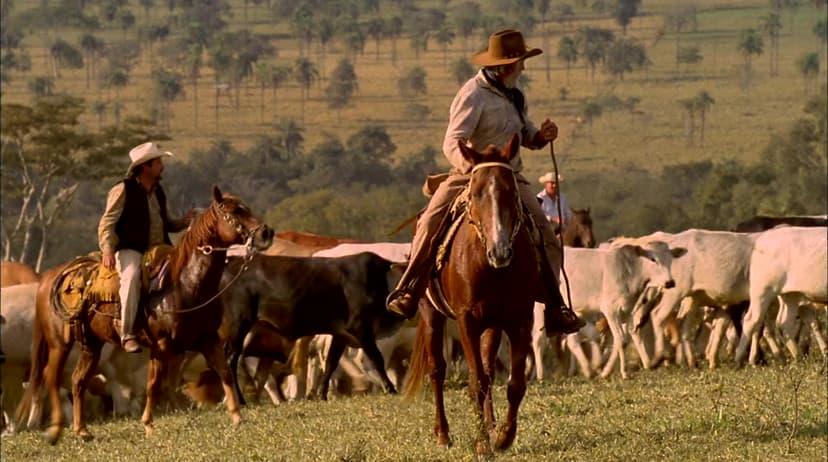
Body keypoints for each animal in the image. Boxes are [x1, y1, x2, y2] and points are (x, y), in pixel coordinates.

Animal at [15, 187, 274, 444]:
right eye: (234, 212)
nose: (266, 232)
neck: (183, 284)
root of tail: (49, 278)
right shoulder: (160, 346)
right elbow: (153, 385)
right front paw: (148, 425)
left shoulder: (208, 341)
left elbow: (225, 373)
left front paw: (237, 417)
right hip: (59, 345)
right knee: (51, 380)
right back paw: (57, 428)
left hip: (91, 345)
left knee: (78, 380)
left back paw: (82, 430)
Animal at [402, 135, 544, 456]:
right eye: (476, 193)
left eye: (511, 192)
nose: (500, 251)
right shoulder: (467, 320)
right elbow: (475, 381)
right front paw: (481, 443)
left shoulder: (519, 320)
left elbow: (514, 383)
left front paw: (503, 437)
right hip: (431, 314)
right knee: (437, 370)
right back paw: (443, 434)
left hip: (492, 325)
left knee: (489, 370)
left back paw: (491, 426)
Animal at [532, 242, 688, 378]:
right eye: (653, 259)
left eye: (670, 259)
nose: (670, 282)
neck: (630, 270)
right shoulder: (611, 310)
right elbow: (621, 339)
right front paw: (624, 373)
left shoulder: (627, 310)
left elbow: (627, 337)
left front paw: (607, 370)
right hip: (541, 308)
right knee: (539, 340)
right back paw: (541, 375)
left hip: (576, 310)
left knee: (574, 340)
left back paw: (589, 368)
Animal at [736, 227, 824, 368]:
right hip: (763, 291)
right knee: (751, 321)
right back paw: (739, 360)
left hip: (790, 294)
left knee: (784, 324)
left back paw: (798, 358)